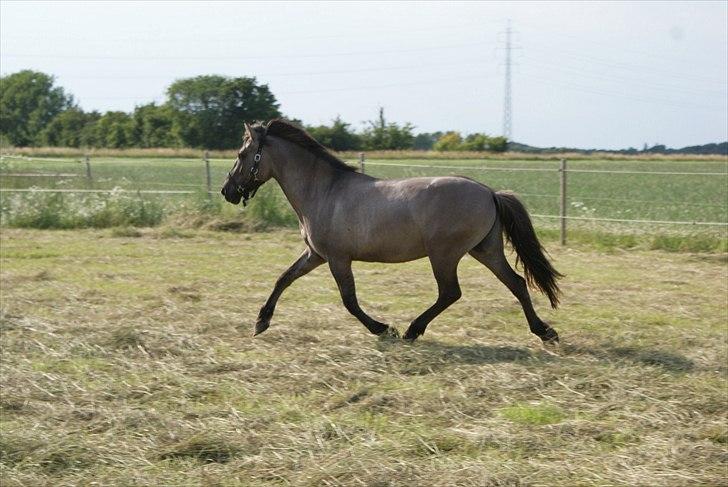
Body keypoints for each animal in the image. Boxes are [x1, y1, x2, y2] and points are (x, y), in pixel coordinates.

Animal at [219, 119, 560, 346]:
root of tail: (489, 191)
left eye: (241, 155)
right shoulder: (315, 254)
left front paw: (384, 329)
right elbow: (283, 279)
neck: (324, 191)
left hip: (445, 255)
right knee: (516, 283)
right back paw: (545, 331)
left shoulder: (337, 259)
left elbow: (349, 300)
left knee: (451, 292)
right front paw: (261, 322)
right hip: (485, 250)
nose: (227, 191)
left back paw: (412, 330)